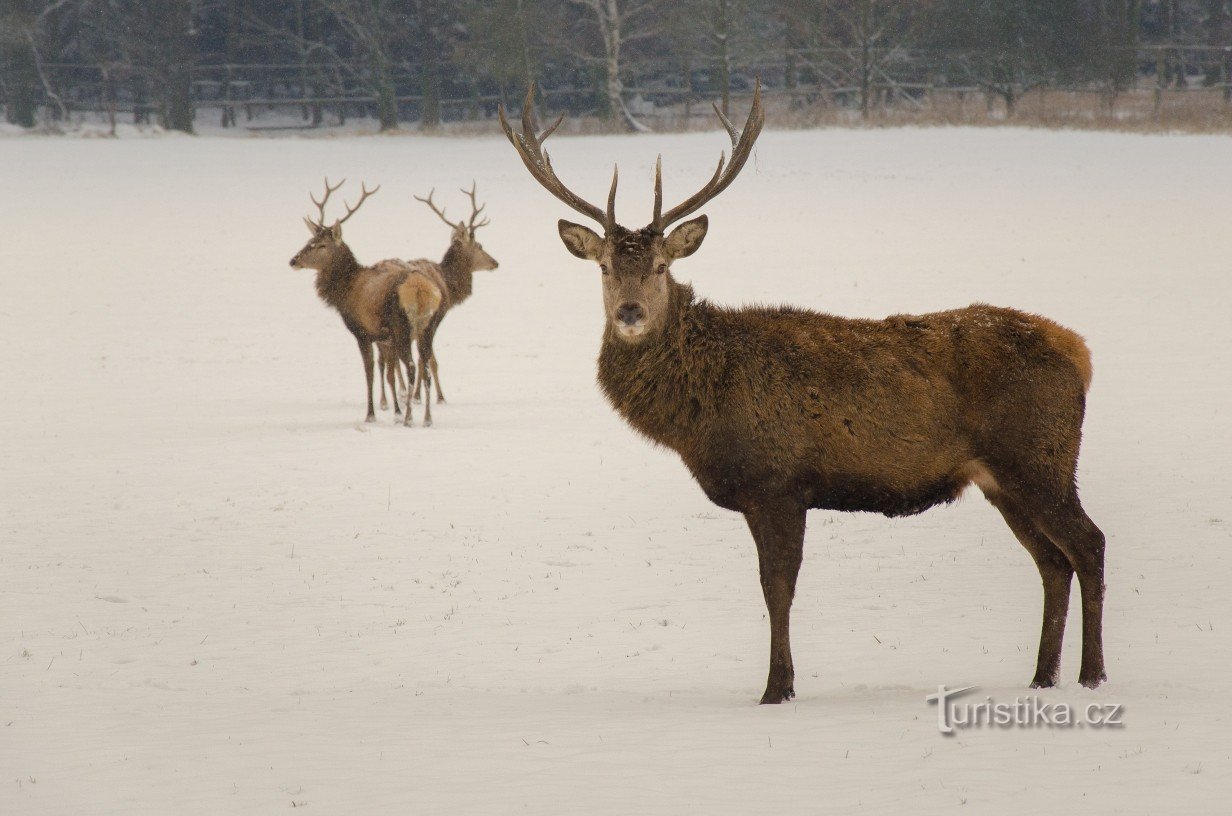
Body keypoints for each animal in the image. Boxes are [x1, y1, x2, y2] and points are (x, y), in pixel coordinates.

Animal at [288, 178, 443, 428]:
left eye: (322, 245)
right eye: (309, 240)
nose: (293, 260)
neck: (345, 291)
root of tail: (421, 290)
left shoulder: (362, 332)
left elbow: (369, 372)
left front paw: (371, 415)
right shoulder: (385, 338)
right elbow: (388, 373)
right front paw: (394, 411)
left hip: (402, 326)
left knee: (411, 366)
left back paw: (410, 418)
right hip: (429, 327)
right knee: (426, 366)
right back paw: (427, 418)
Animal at [411, 183, 502, 404]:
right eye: (479, 245)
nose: (495, 262)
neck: (450, 286)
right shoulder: (435, 318)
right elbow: (429, 359)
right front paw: (438, 397)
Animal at [500, 86, 1108, 705]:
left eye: (662, 265)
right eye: (603, 267)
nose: (629, 312)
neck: (701, 416)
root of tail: (1081, 354)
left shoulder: (779, 482)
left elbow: (776, 587)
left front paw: (776, 688)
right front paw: (782, 683)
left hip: (1039, 457)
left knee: (1089, 544)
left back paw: (1092, 674)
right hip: (1001, 478)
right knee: (1051, 563)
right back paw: (1042, 677)